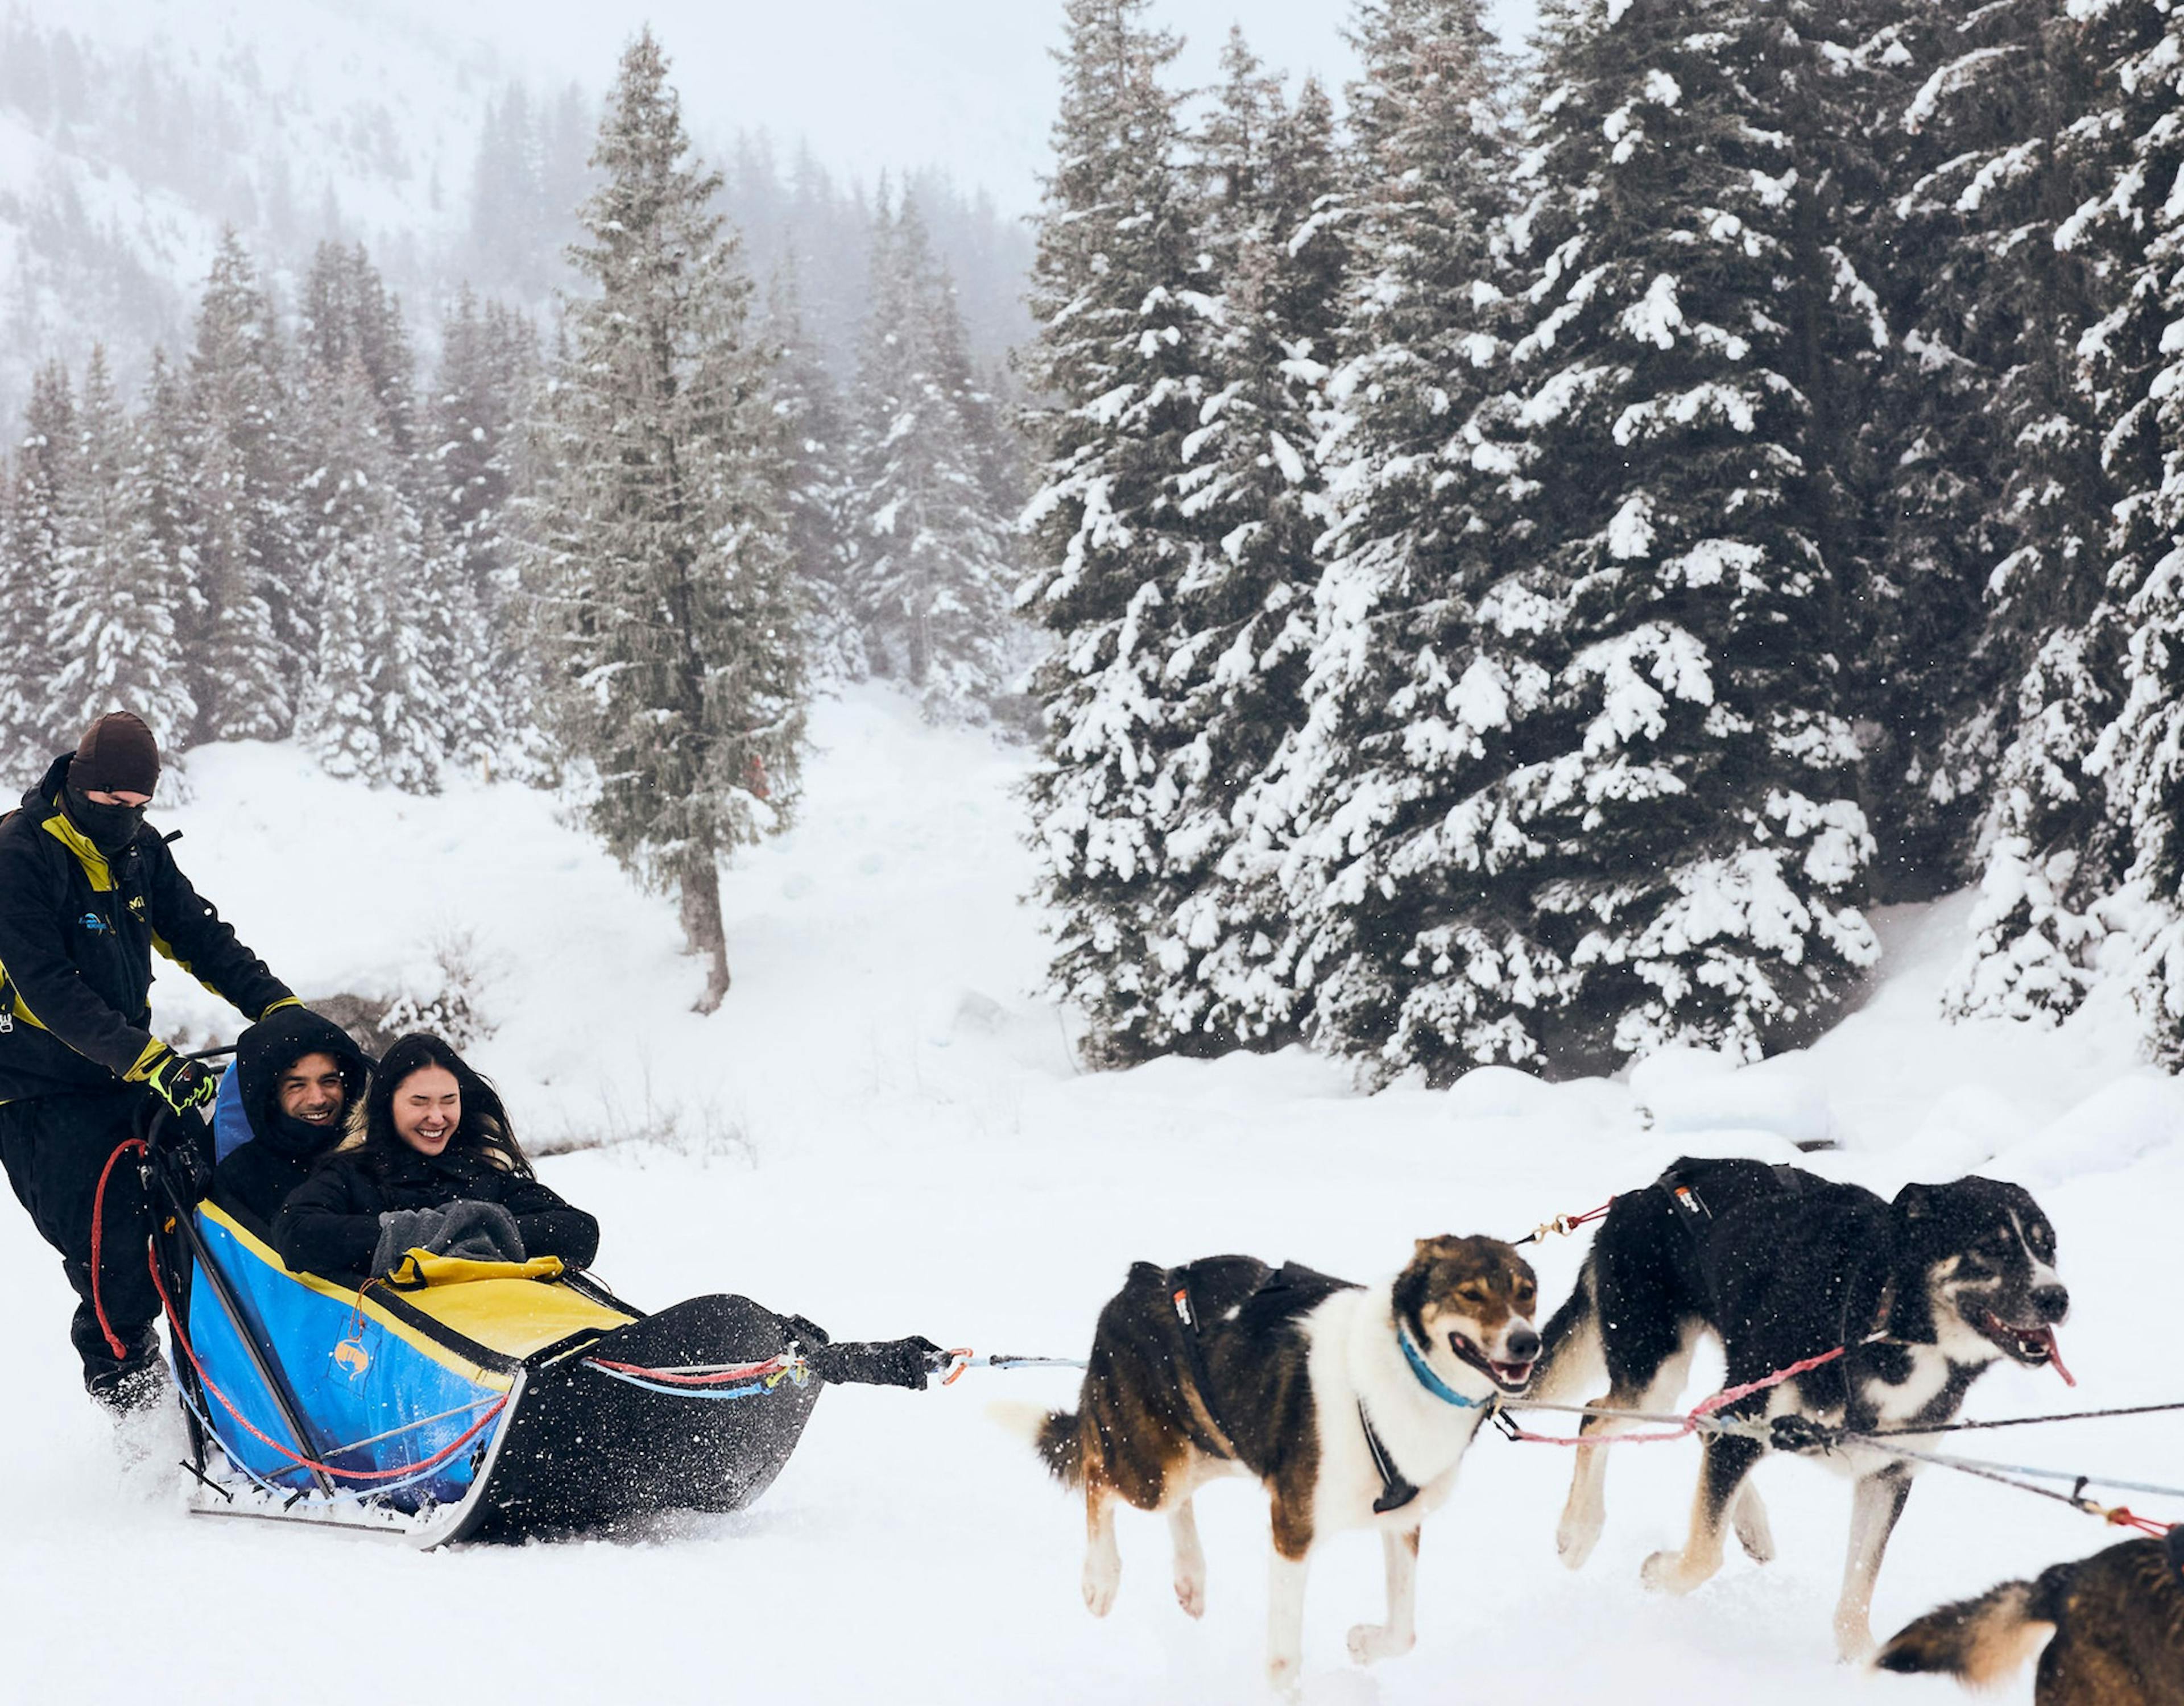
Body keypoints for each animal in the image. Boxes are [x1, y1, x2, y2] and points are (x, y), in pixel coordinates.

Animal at [1017, 1240, 1546, 1686]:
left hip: (1216, 1445)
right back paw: (1101, 1579)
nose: (1528, 1343)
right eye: (1471, 1294)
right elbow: (1284, 1659)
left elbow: (1404, 1633)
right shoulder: (1293, 1528)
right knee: (1096, 1473)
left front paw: (1365, 1644)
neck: (1407, 1370)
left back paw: (1190, 1576)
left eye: (1527, 1293)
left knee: (1177, 1499)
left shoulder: (1402, 1520)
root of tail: (1142, 1279)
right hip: (1150, 1469)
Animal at [1529, 1153, 2070, 1660]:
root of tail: (1647, 1191)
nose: (2057, 1298)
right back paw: (1578, 1531)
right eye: (1990, 1248)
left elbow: (1859, 1586)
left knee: (1704, 1420)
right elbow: (1703, 1556)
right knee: (1599, 1414)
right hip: (1663, 1373)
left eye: (2047, 1246)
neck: (1879, 1318)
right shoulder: (1752, 1415)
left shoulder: (1886, 1473)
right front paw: (1658, 1571)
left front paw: (1859, 1662)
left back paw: (1751, 1526)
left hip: (1729, 1388)